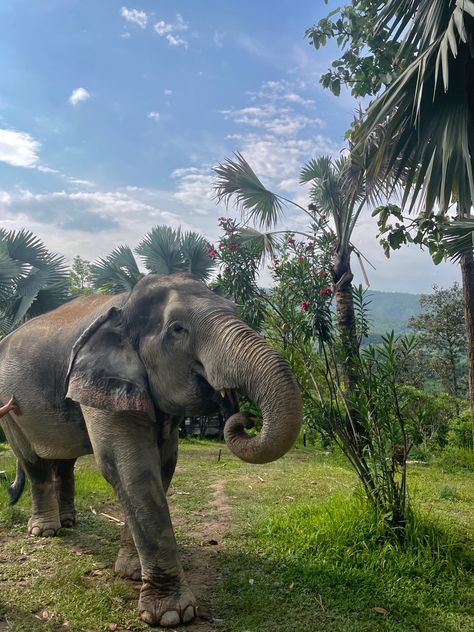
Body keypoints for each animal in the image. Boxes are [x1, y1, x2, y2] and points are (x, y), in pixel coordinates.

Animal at [0, 272, 302, 628]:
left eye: (234, 309)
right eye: (177, 329)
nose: (242, 418)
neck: (126, 302)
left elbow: (164, 465)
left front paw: (130, 572)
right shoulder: (105, 382)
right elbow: (131, 470)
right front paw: (171, 614)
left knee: (63, 460)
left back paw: (69, 522)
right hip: (9, 405)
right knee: (33, 461)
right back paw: (45, 531)